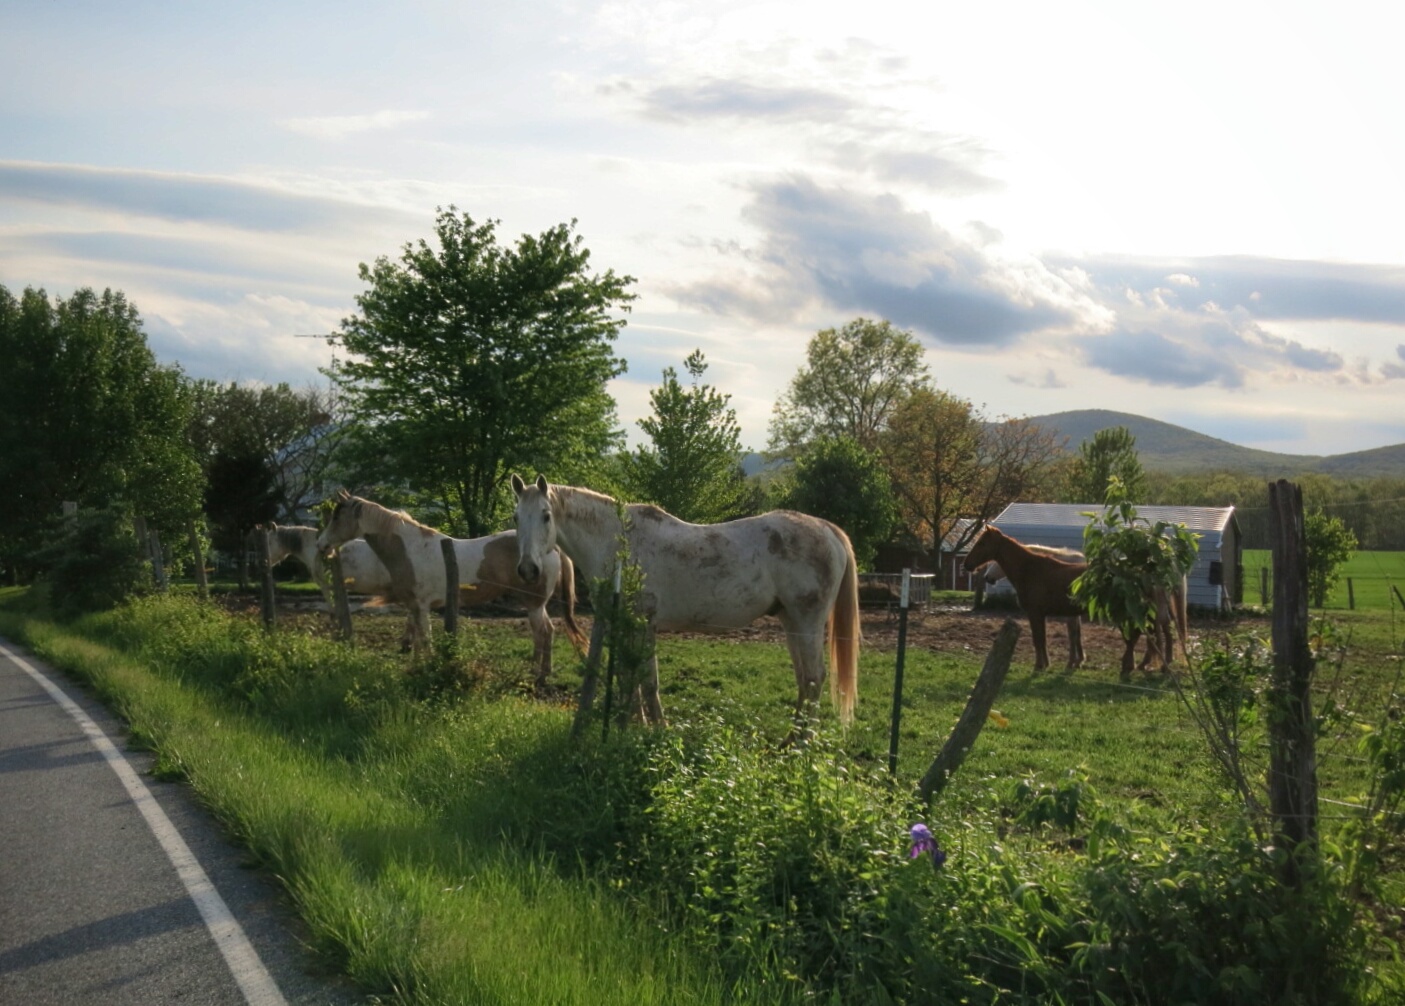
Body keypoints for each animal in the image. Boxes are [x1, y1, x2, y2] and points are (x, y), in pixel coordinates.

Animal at [316, 493, 586, 685]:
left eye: (337, 517)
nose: (321, 544)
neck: (411, 550)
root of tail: (551, 548)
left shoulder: (422, 606)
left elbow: (425, 640)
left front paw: (428, 669)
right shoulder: (414, 607)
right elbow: (418, 640)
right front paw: (416, 668)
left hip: (534, 604)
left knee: (544, 632)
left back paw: (540, 675)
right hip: (535, 605)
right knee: (545, 632)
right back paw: (536, 671)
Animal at [510, 474, 860, 730]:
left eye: (546, 516)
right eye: (515, 517)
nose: (527, 570)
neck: (620, 542)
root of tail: (828, 529)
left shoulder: (643, 623)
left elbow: (646, 680)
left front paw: (656, 730)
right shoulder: (626, 623)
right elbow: (630, 677)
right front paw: (635, 726)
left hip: (807, 620)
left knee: (814, 678)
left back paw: (801, 746)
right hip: (790, 620)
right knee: (804, 679)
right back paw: (788, 743)